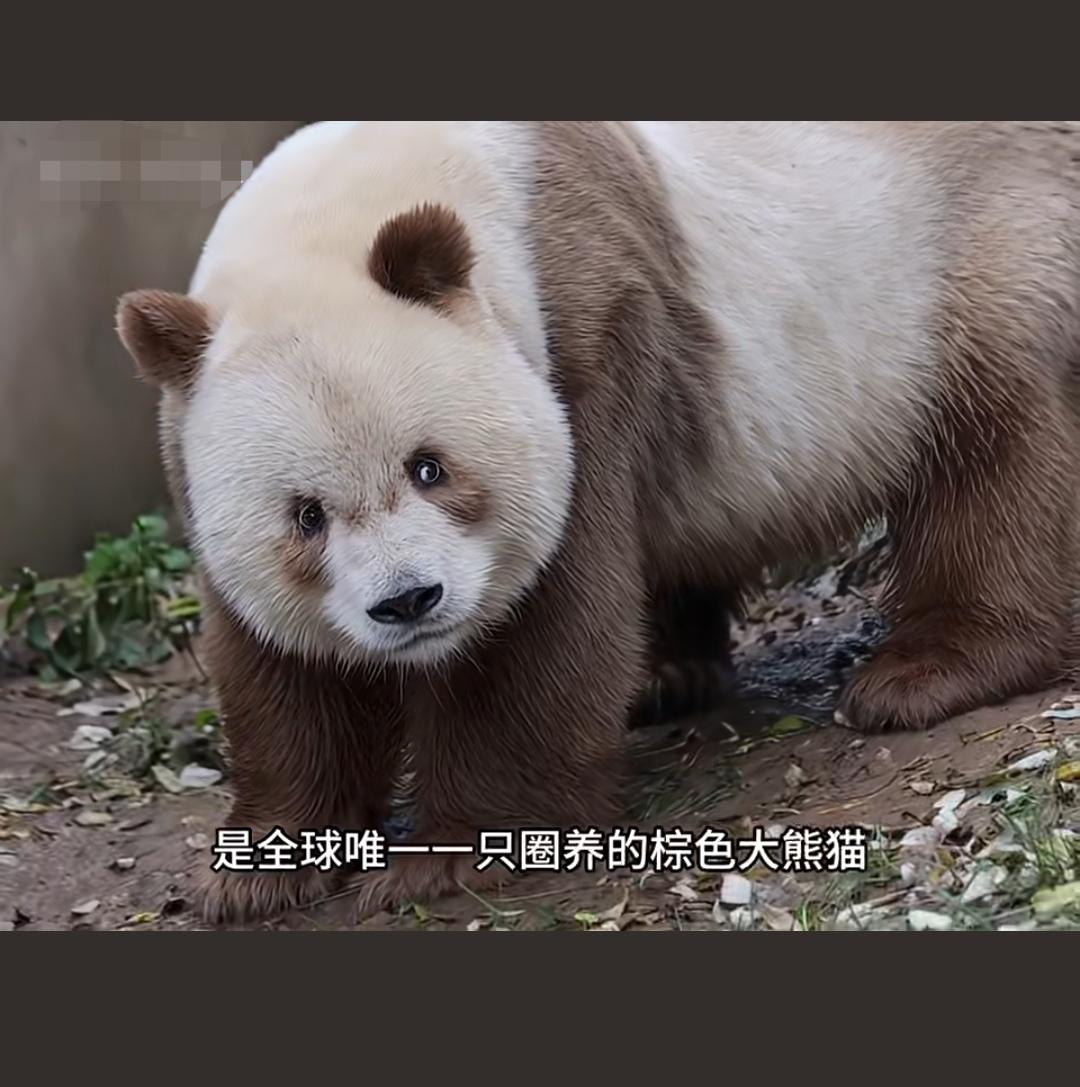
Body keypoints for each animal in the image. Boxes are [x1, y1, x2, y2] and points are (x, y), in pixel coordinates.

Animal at [116, 121, 1080, 922]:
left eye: (429, 466)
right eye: (306, 516)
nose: (409, 602)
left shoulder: (584, 327)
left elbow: (541, 618)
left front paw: (448, 857)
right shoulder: (192, 437)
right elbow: (285, 671)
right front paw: (261, 870)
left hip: (956, 255)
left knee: (1000, 447)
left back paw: (927, 670)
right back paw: (669, 678)